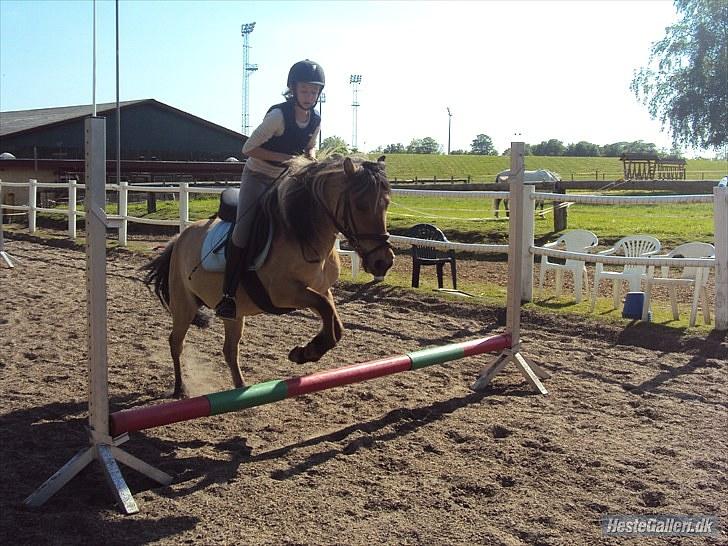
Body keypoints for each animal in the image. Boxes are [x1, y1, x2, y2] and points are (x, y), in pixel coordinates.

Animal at [141, 153, 392, 396]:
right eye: (360, 205)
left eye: (386, 204)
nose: (384, 262)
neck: (304, 234)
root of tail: (179, 239)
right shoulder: (284, 294)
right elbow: (326, 311)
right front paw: (305, 352)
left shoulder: (320, 289)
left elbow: (334, 321)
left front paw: (306, 351)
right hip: (184, 305)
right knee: (176, 342)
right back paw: (179, 388)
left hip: (234, 313)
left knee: (229, 350)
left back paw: (241, 389)